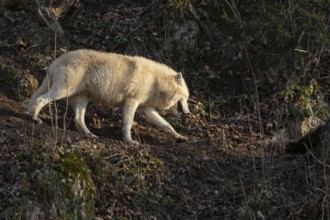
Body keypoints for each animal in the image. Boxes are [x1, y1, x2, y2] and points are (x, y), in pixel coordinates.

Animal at [28, 50, 191, 146]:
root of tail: (56, 61)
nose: (188, 113)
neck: (155, 82)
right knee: (40, 100)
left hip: (82, 100)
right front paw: (130, 141)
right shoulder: (131, 102)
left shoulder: (147, 109)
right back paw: (35, 118)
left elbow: (166, 125)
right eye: (185, 99)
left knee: (78, 120)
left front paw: (179, 137)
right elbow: (128, 124)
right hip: (62, 92)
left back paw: (90, 134)